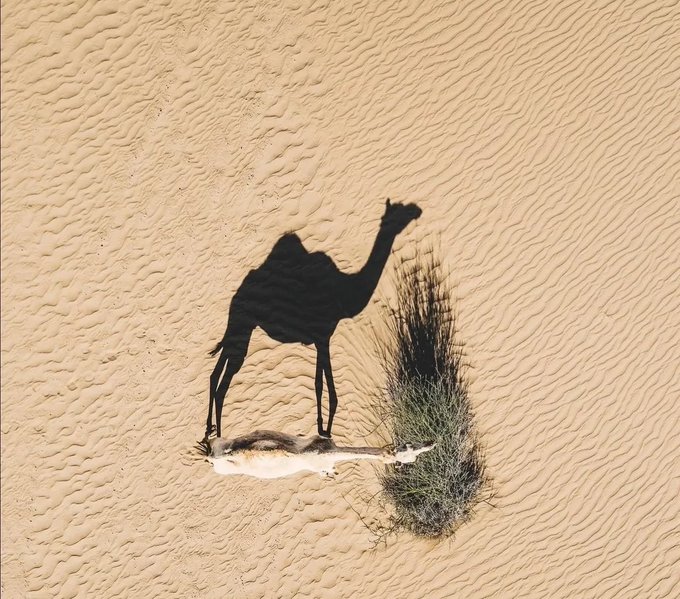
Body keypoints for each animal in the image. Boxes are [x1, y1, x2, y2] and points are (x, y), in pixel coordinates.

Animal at [206, 199, 421, 440]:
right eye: (399, 211)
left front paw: (321, 429)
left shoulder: (321, 338)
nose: (417, 210)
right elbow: (326, 386)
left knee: (215, 374)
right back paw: (221, 437)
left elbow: (318, 383)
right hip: (242, 325)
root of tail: (237, 295)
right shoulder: (323, 334)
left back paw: (209, 430)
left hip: (239, 326)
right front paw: (326, 432)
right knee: (224, 382)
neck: (344, 289)